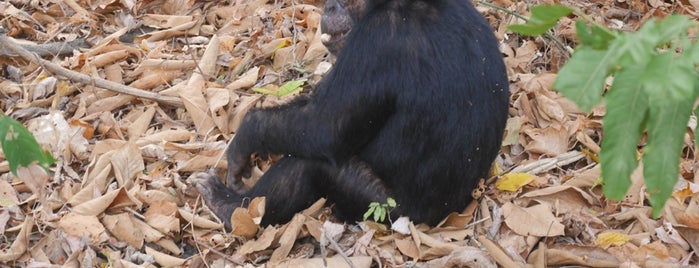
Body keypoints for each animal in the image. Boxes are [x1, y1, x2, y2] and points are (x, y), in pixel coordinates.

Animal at [194, 0, 512, 227]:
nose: (329, 5)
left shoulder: (376, 40)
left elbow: (324, 125)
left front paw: (245, 138)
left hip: (382, 208)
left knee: (313, 165)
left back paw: (230, 207)